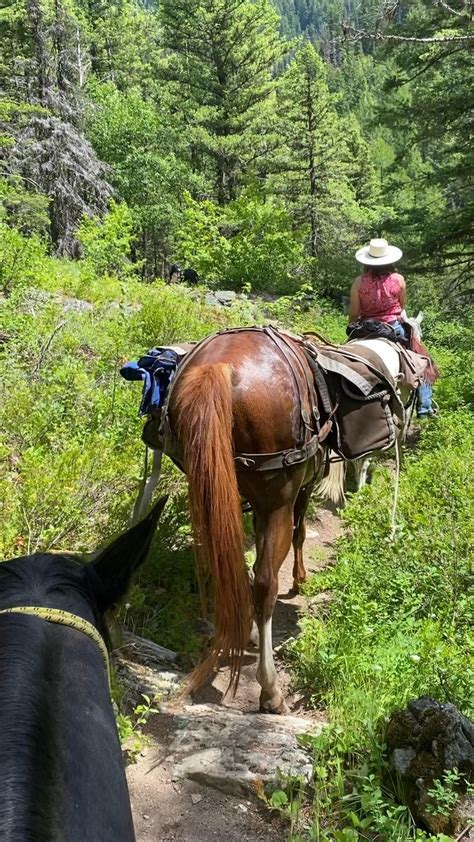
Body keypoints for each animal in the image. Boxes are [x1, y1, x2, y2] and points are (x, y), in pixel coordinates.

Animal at [167, 328, 340, 708]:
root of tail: (221, 367)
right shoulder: (294, 495)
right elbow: (299, 532)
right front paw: (300, 579)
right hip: (278, 501)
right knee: (264, 584)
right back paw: (270, 689)